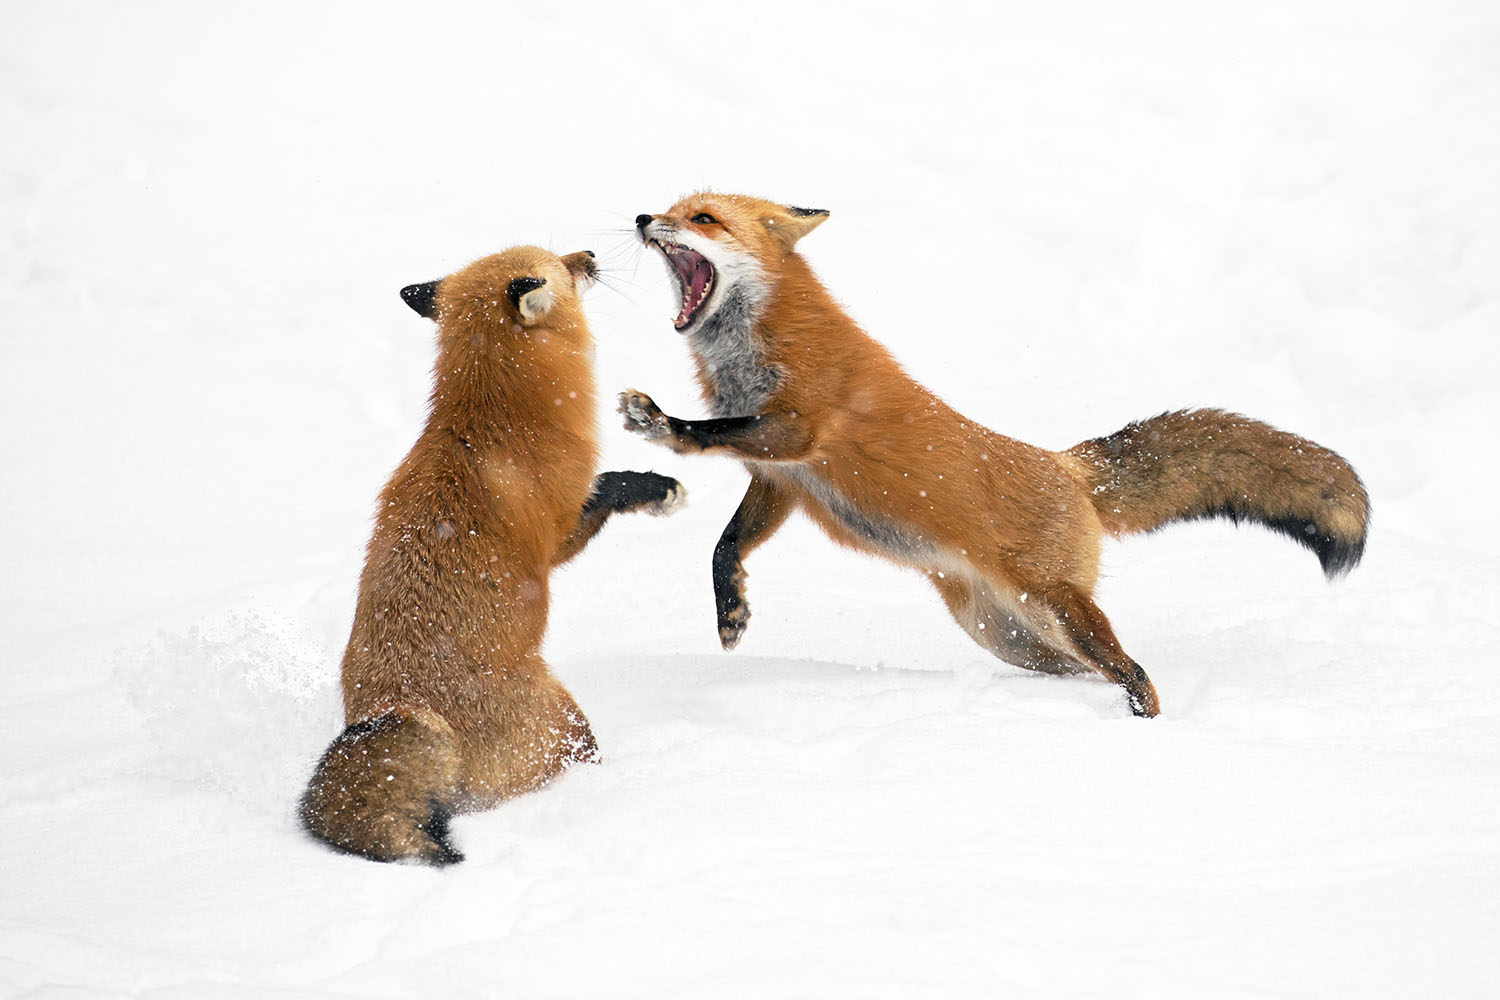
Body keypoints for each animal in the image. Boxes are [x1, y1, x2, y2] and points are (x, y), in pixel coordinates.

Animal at [299, 245, 684, 865]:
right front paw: (657, 489)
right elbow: (609, 487)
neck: (496, 421)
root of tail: (396, 707)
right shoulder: (560, 533)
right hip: (566, 723)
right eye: (560, 266)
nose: (589, 254)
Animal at [620, 192, 1368, 718]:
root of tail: (1069, 465)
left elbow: (711, 433)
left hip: (1058, 608)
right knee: (1095, 670)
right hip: (1011, 635)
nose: (642, 217)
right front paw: (731, 609)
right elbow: (725, 545)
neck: (761, 340)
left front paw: (664, 425)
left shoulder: (803, 428)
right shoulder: (784, 481)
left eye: (704, 218)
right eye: (672, 208)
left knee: (1135, 670)